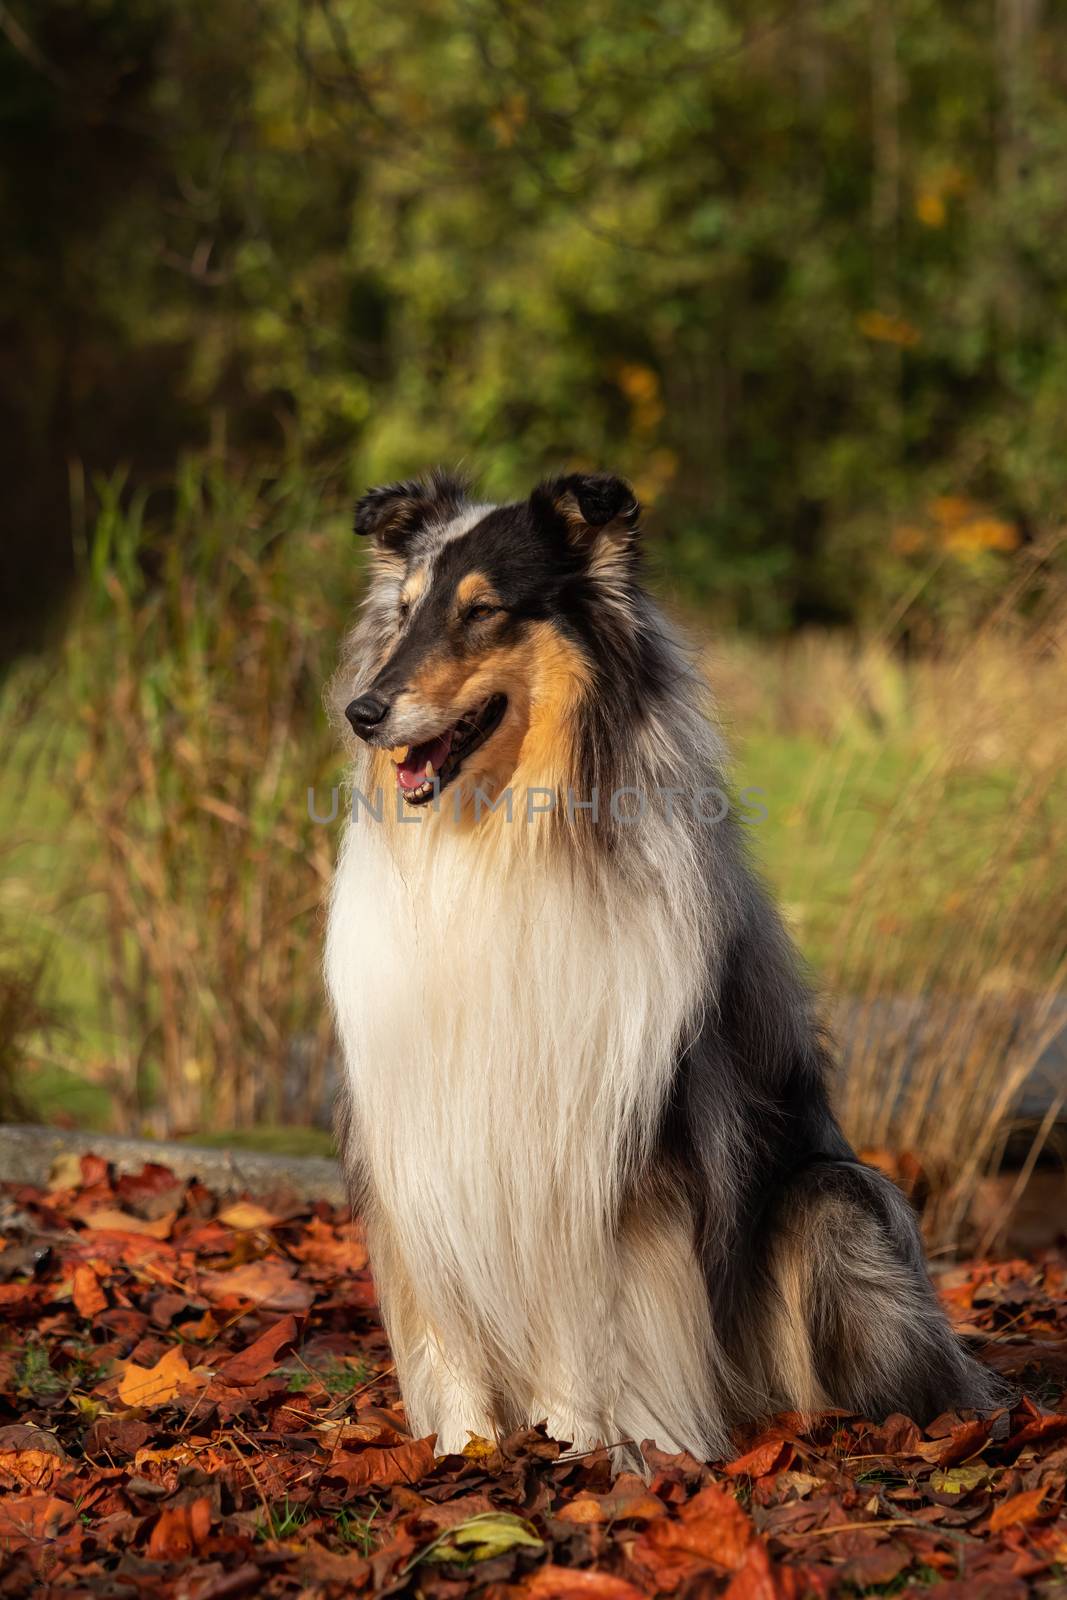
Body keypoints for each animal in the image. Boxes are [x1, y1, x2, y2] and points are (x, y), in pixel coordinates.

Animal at [327, 467, 1004, 1465]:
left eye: (482, 611)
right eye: (406, 611)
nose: (362, 712)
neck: (494, 844)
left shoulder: (610, 1137)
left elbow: (592, 1316)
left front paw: (577, 1444)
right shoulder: (420, 1133)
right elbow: (446, 1325)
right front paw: (465, 1450)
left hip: (834, 1199)